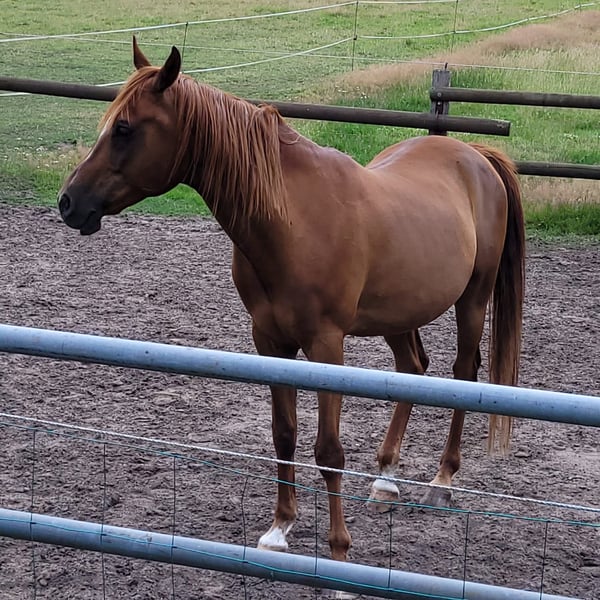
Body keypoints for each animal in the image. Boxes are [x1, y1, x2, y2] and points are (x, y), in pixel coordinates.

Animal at [58, 39, 525, 563]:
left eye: (124, 128)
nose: (68, 202)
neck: (292, 219)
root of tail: (474, 153)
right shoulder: (271, 342)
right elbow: (284, 435)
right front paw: (280, 528)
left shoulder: (326, 346)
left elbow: (329, 450)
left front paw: (339, 549)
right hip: (399, 313)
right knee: (412, 369)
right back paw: (385, 479)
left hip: (473, 299)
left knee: (463, 373)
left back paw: (441, 481)